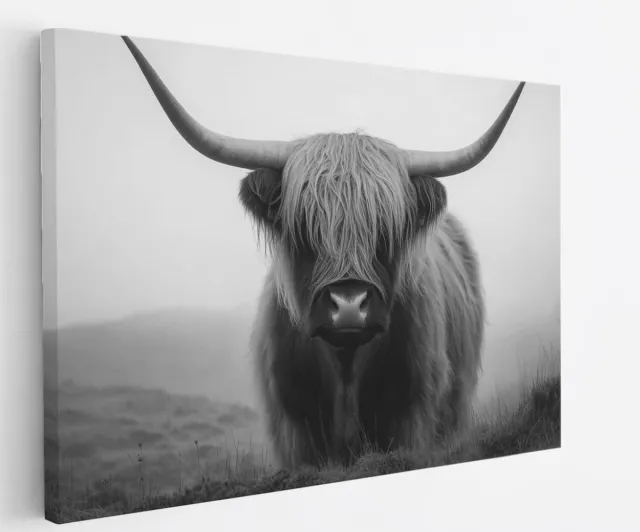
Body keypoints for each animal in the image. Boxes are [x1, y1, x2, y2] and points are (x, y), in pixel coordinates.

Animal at [121, 36, 525, 469]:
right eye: (303, 226)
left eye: (386, 229)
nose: (348, 306)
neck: (345, 367)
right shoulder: (295, 432)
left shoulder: (412, 419)